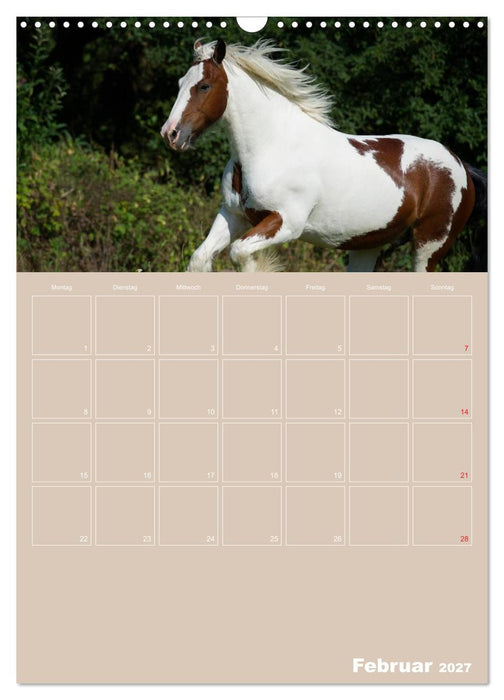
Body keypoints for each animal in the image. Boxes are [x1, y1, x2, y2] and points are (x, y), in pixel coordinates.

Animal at [161, 39, 487, 272]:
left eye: (204, 86)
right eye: (178, 84)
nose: (171, 134)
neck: (272, 146)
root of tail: (461, 166)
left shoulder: (286, 223)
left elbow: (241, 254)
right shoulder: (233, 215)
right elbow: (200, 259)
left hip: (429, 246)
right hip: (368, 245)